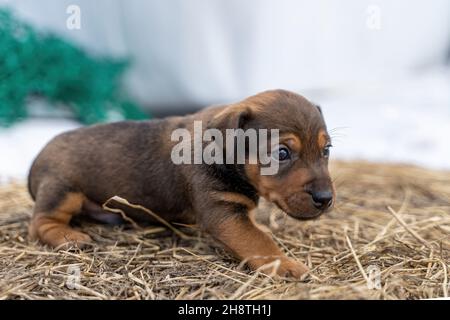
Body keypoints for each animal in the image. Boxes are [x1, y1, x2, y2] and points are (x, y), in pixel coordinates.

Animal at [27, 89, 334, 278]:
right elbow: (257, 239)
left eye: (326, 150)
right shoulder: (223, 212)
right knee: (41, 222)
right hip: (63, 190)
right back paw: (67, 237)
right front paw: (285, 264)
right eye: (281, 153)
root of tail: (36, 160)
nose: (326, 198)